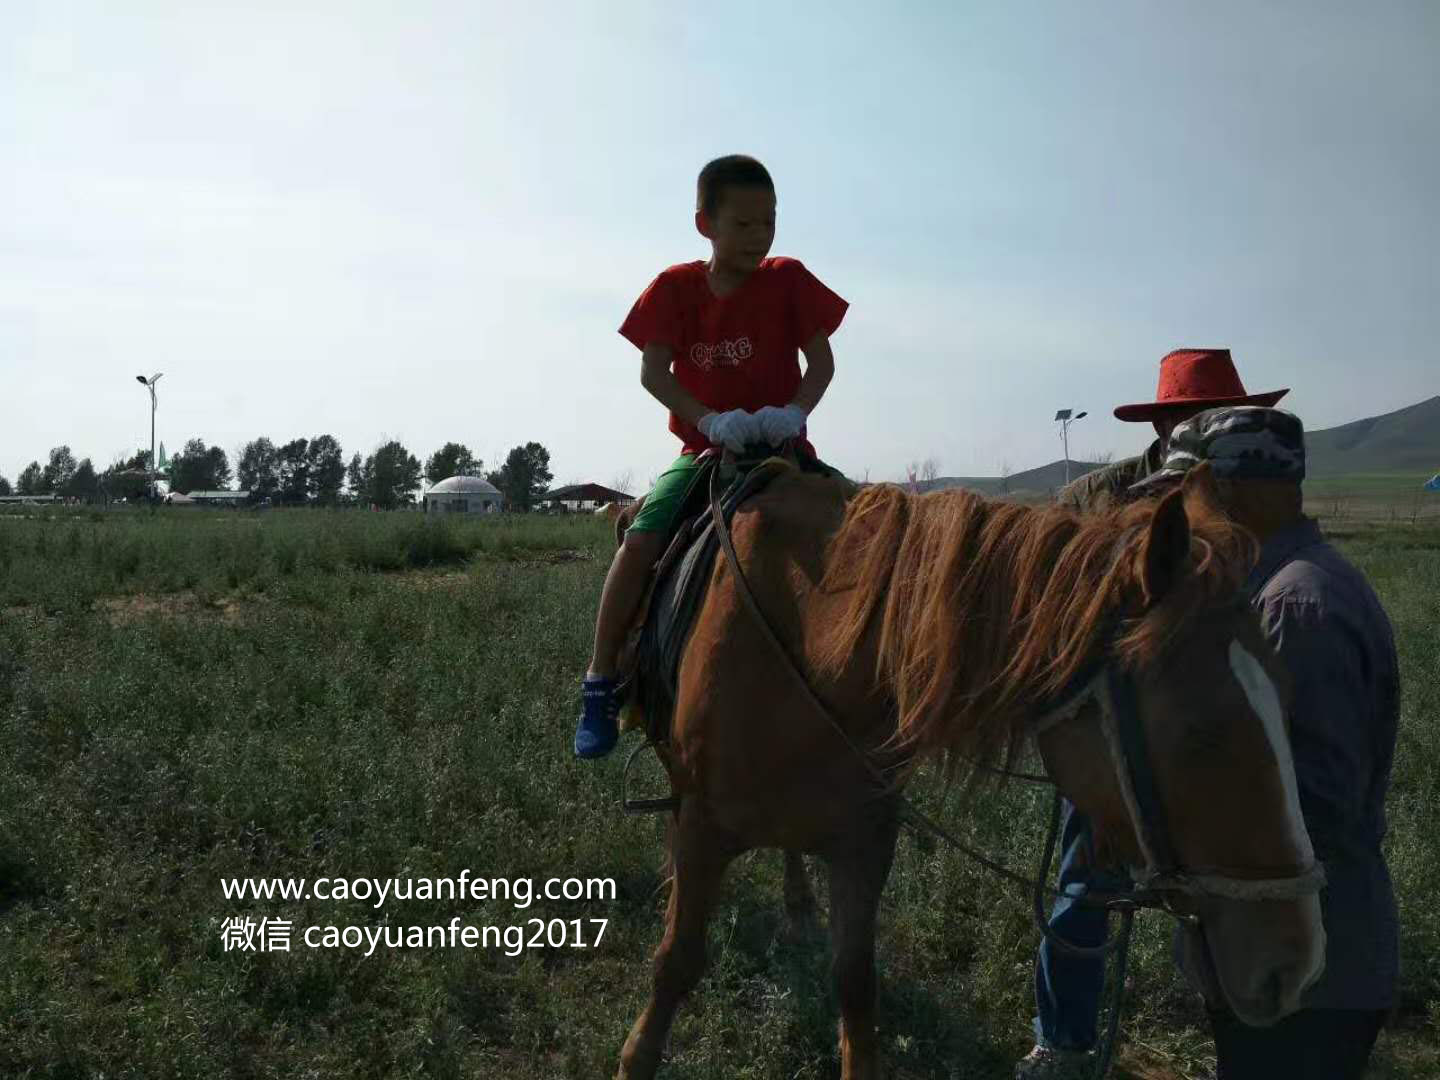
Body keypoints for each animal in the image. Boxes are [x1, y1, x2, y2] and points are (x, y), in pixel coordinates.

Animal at [613, 466, 1319, 1080]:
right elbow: (676, 961)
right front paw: (636, 1058)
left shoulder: (866, 839)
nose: (1296, 966)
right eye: (1202, 734)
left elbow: (855, 981)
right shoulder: (706, 828)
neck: (820, 645)